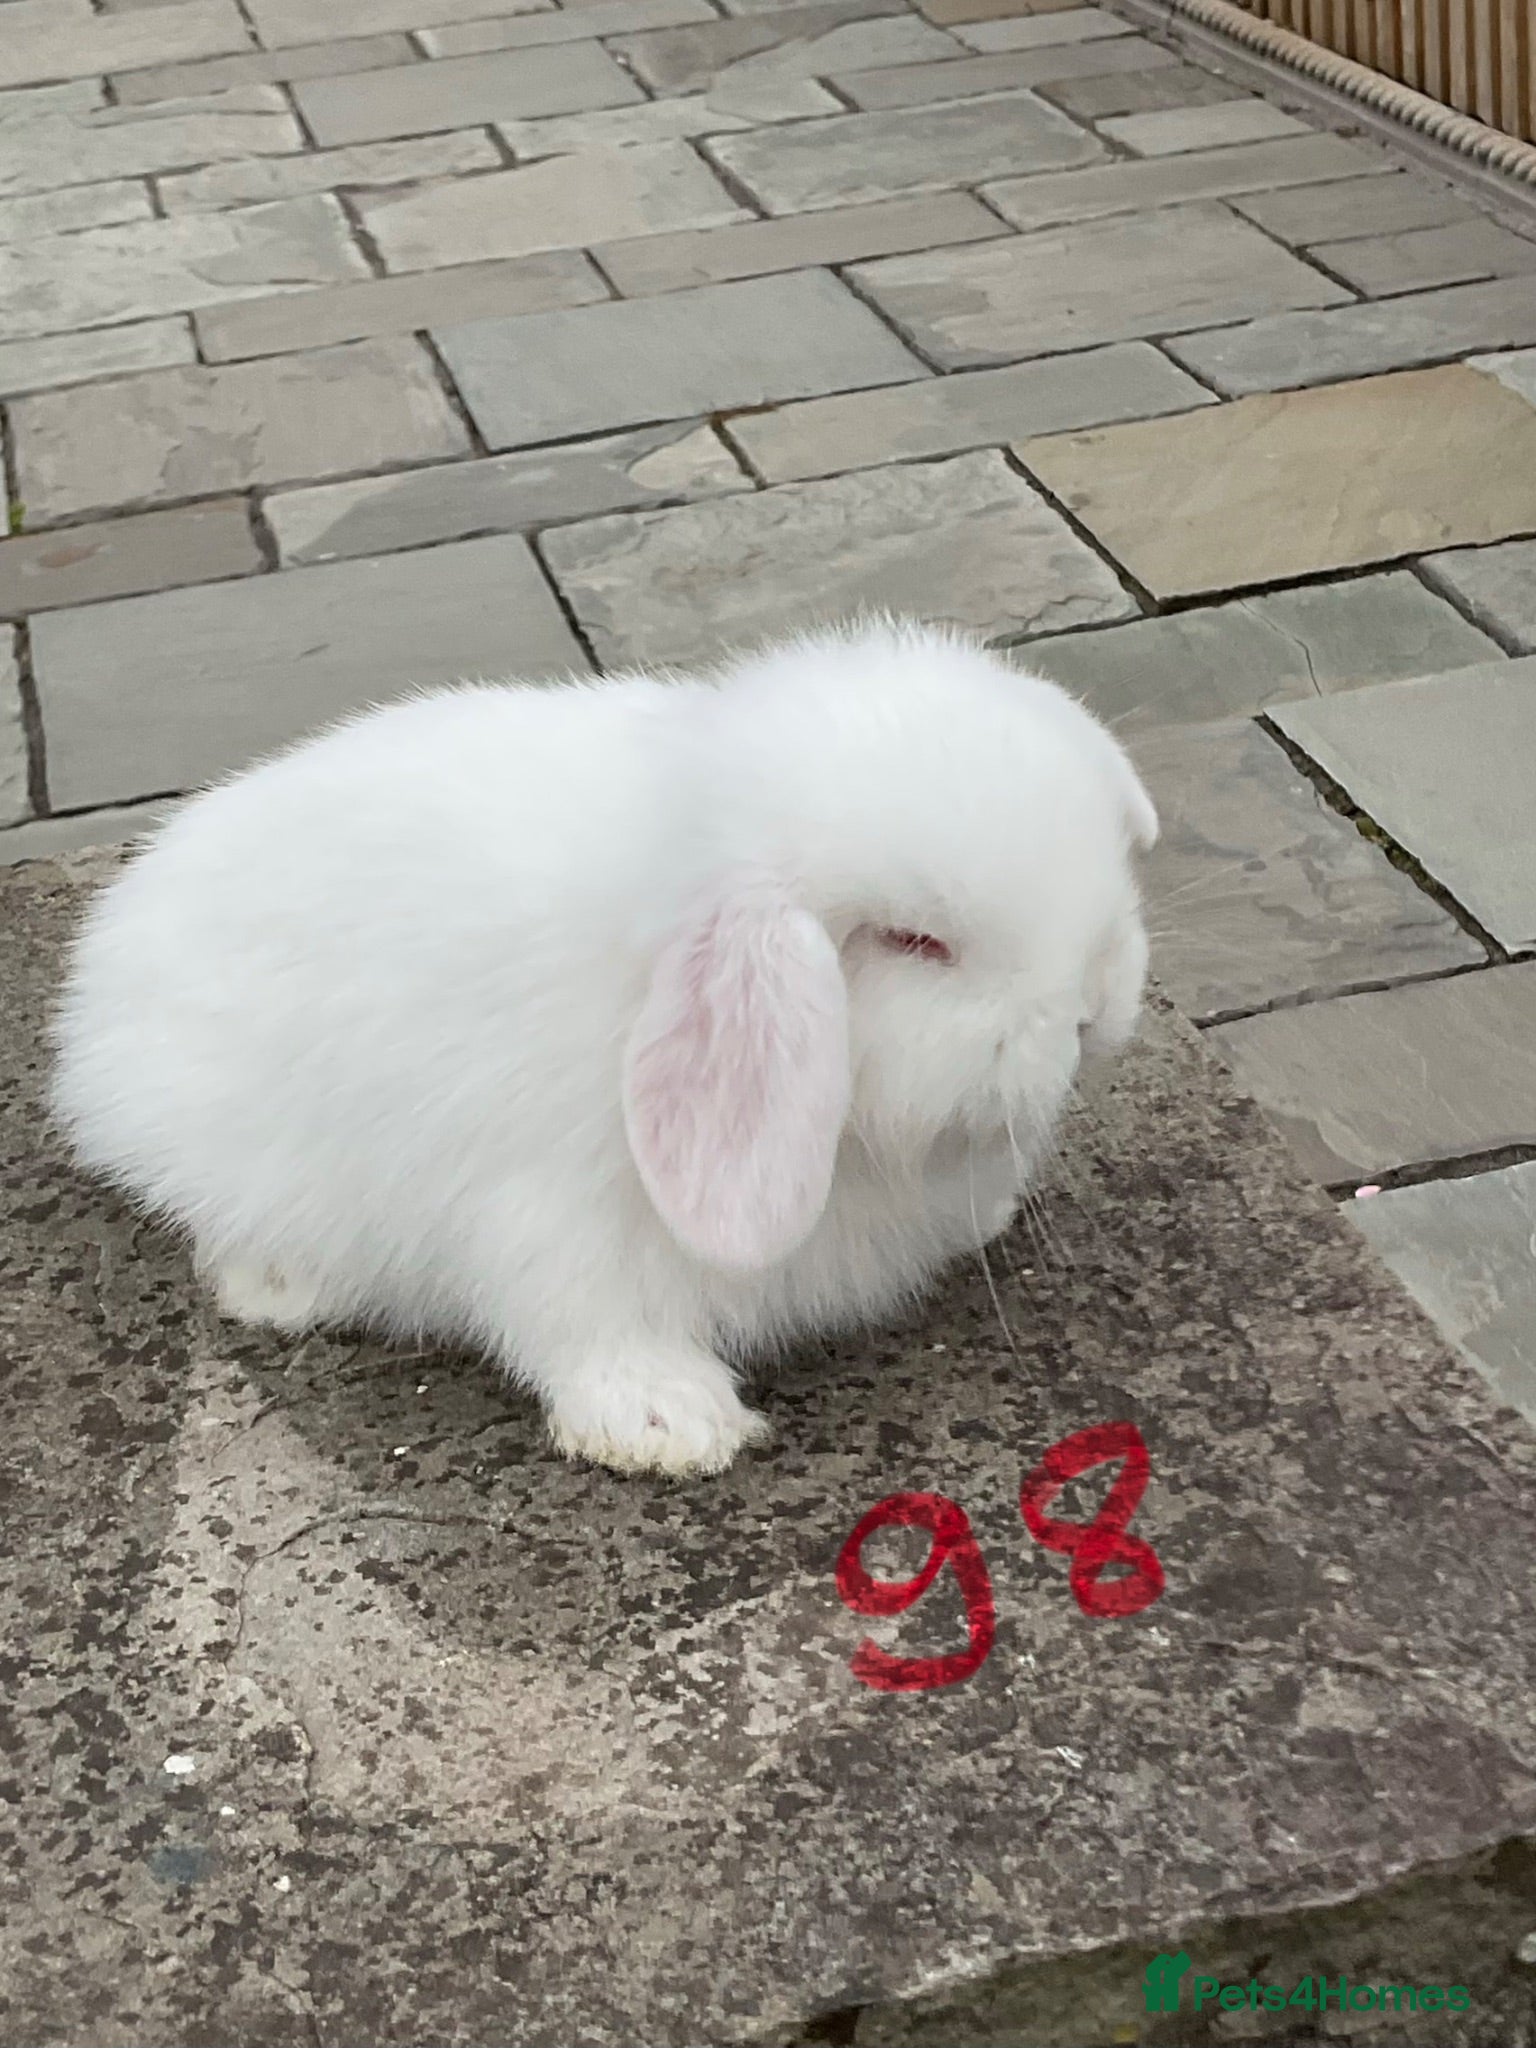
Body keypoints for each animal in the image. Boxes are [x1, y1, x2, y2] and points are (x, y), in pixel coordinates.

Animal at [51, 617, 1157, 1479]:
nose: (1094, 1003)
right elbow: (581, 1316)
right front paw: (669, 1421)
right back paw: (280, 1288)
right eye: (914, 942)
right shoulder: (546, 1209)